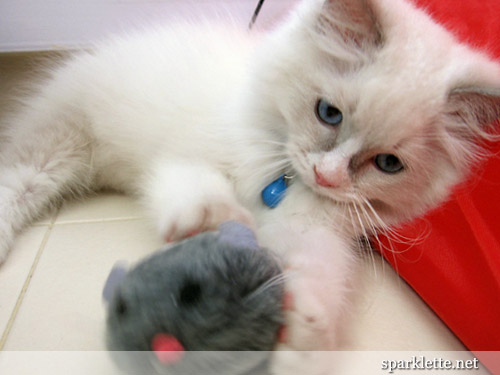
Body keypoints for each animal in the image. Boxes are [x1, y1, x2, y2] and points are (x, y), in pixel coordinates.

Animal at [0, 0, 500, 370]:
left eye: (388, 163)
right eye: (329, 113)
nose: (328, 175)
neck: (282, 178)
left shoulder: (316, 227)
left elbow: (321, 270)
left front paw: (304, 332)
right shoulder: (183, 157)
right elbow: (198, 187)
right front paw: (213, 221)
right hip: (58, 143)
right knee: (15, 179)